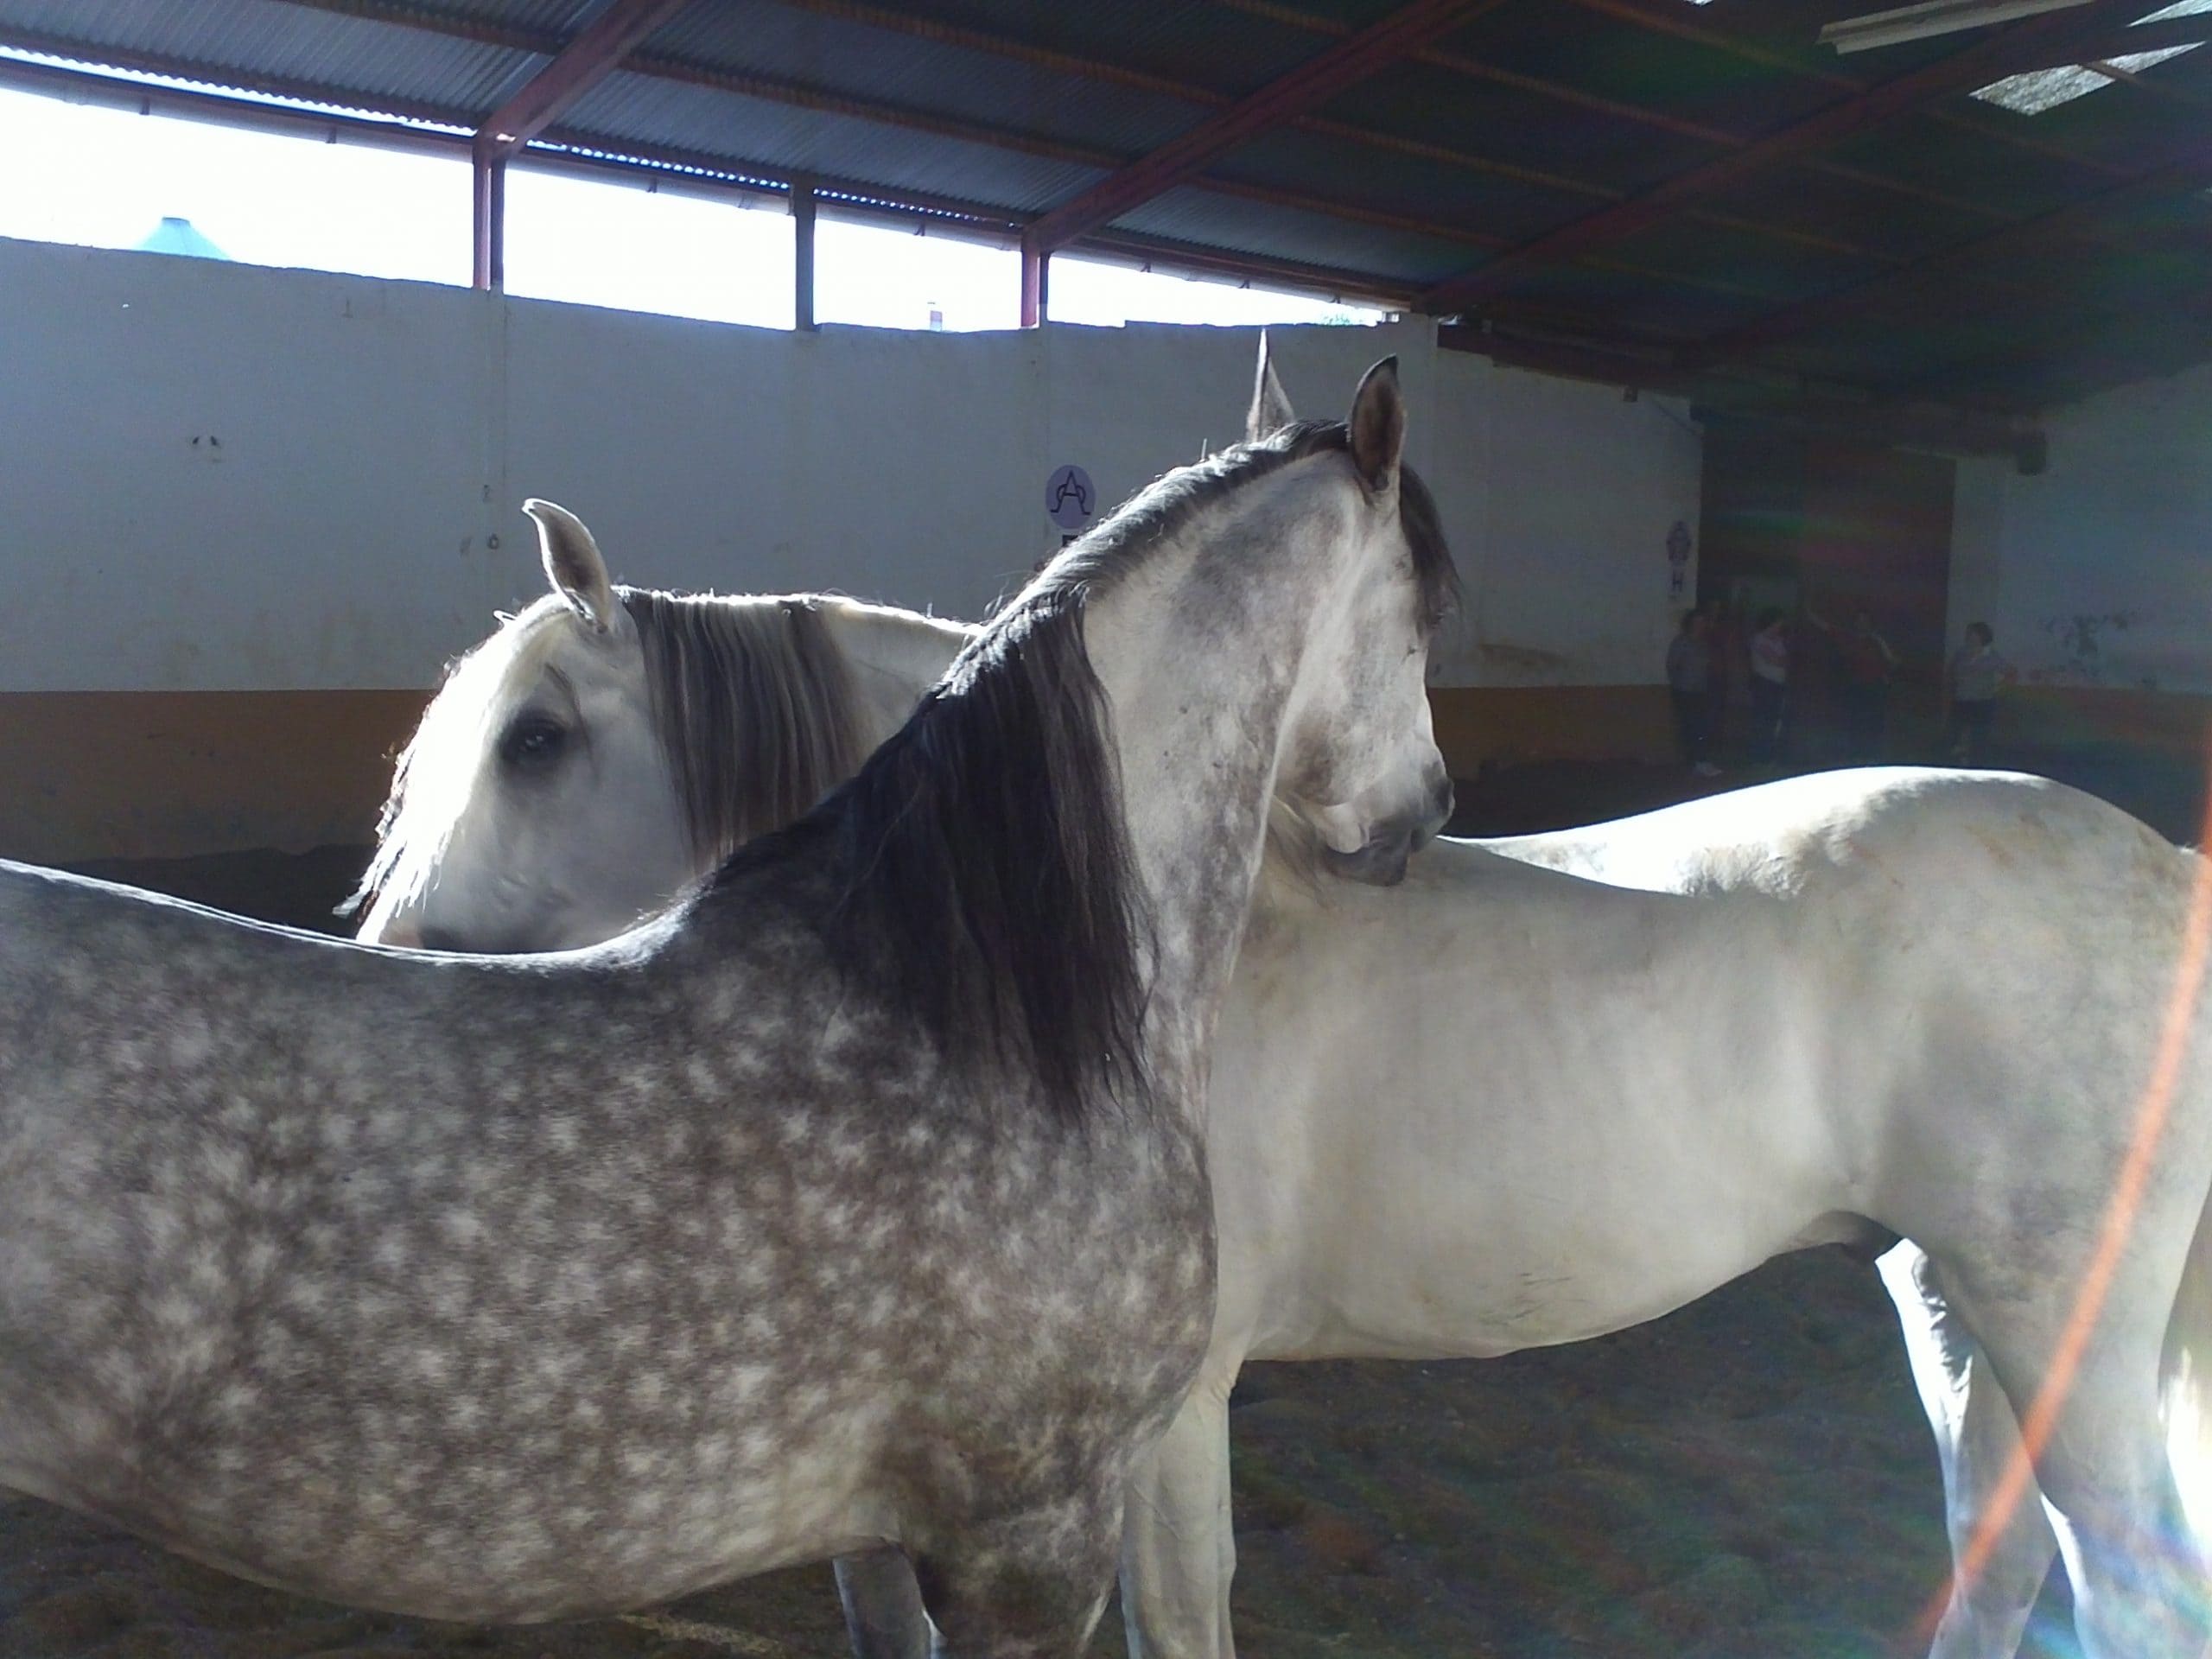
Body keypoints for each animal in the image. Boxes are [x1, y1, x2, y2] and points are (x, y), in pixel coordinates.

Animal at [0, 356, 1454, 1658]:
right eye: (1430, 609)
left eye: (529, 740)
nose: (1421, 814)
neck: (981, 1012)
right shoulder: (1034, 1540)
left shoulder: (887, 1536)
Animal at [355, 350, 2212, 1659]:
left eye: (536, 740)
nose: (388, 955)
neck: (1082, 952)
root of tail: (2159, 860)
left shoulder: (1162, 1419)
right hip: (1958, 1307)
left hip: (2060, 1322)